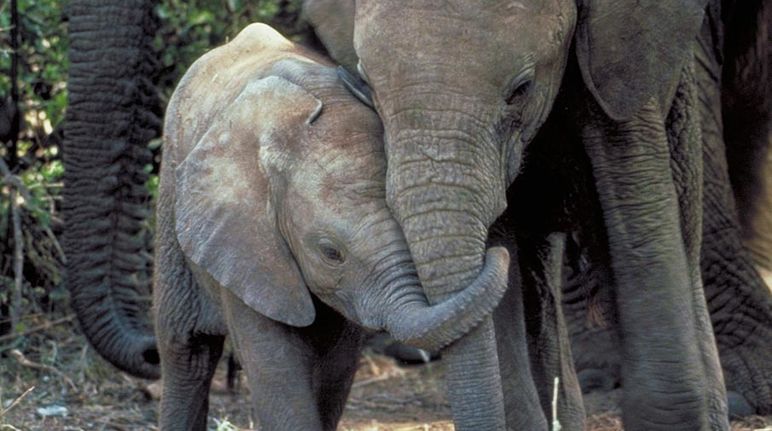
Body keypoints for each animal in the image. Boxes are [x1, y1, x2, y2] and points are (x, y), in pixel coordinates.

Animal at [154, 24, 510, 431]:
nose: (499, 249)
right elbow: (275, 368)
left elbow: (336, 368)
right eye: (330, 253)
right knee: (186, 351)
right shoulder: (245, 240)